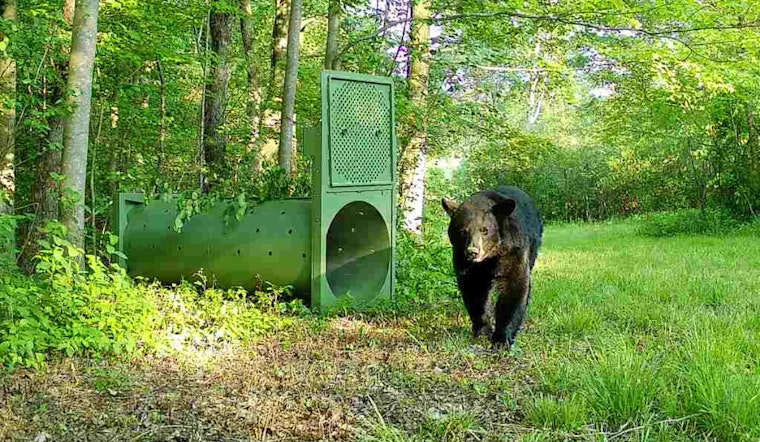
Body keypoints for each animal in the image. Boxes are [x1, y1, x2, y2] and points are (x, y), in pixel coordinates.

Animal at [442, 185, 543, 349]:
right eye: (463, 231)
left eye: (485, 230)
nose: (472, 252)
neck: (490, 257)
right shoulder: (464, 262)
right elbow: (475, 291)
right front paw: (482, 330)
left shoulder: (514, 251)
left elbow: (515, 288)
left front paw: (502, 338)